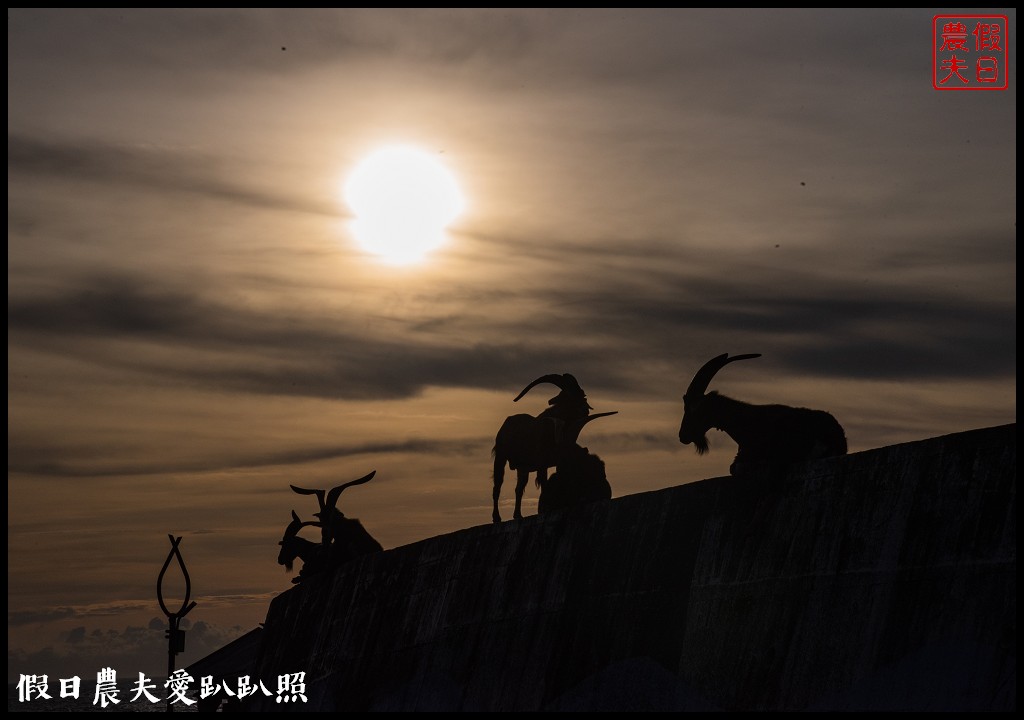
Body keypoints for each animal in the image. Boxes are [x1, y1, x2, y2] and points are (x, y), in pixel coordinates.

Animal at [493, 374, 618, 520]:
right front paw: (545, 508)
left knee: (519, 489)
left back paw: (518, 515)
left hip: (522, 467)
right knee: (497, 486)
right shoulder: (542, 462)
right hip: (501, 457)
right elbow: (544, 483)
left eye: (582, 395)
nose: (585, 409)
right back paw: (496, 518)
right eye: (568, 396)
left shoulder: (559, 459)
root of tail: (505, 424)